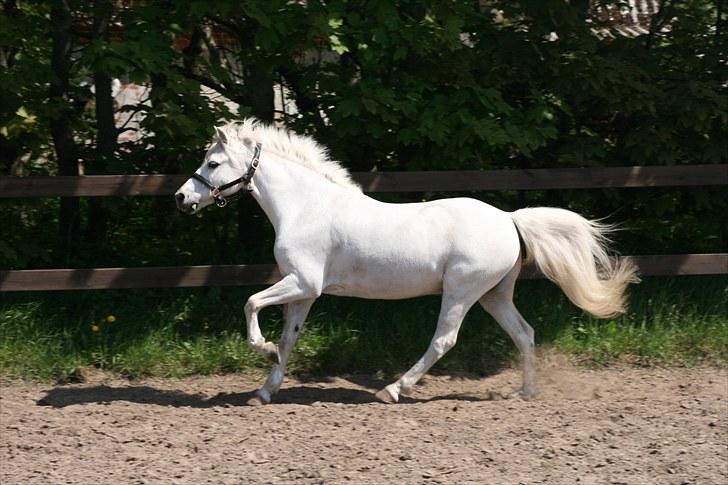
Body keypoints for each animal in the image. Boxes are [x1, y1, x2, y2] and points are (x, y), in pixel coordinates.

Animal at [175, 120, 636, 404]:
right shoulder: (303, 291)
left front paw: (263, 350)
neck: (306, 206)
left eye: (213, 163)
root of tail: (509, 219)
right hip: (495, 295)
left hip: (461, 291)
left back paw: (393, 389)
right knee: (524, 333)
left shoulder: (303, 282)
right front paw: (265, 390)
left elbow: (251, 302)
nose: (181, 198)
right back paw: (523, 393)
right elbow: (290, 339)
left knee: (444, 340)